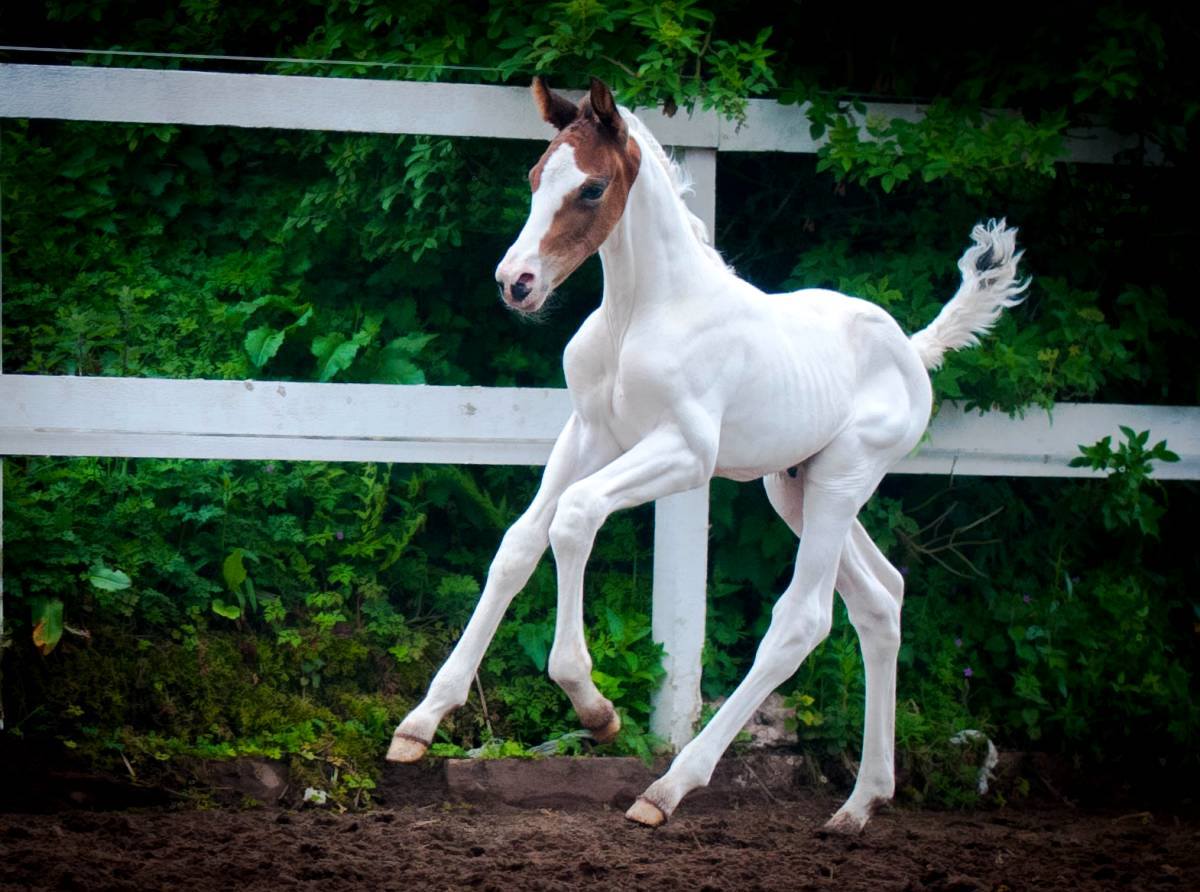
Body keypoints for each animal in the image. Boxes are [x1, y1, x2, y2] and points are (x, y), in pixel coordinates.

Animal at [388, 75, 1027, 830]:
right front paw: (421, 722)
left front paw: (594, 707)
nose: (516, 283)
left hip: (845, 477)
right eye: (536, 177)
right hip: (794, 486)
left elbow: (574, 517)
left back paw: (668, 789)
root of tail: (912, 348)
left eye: (592, 189)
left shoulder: (686, 454)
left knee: (802, 621)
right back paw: (860, 803)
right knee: (882, 598)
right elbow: (518, 544)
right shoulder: (589, 433)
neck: (640, 312)